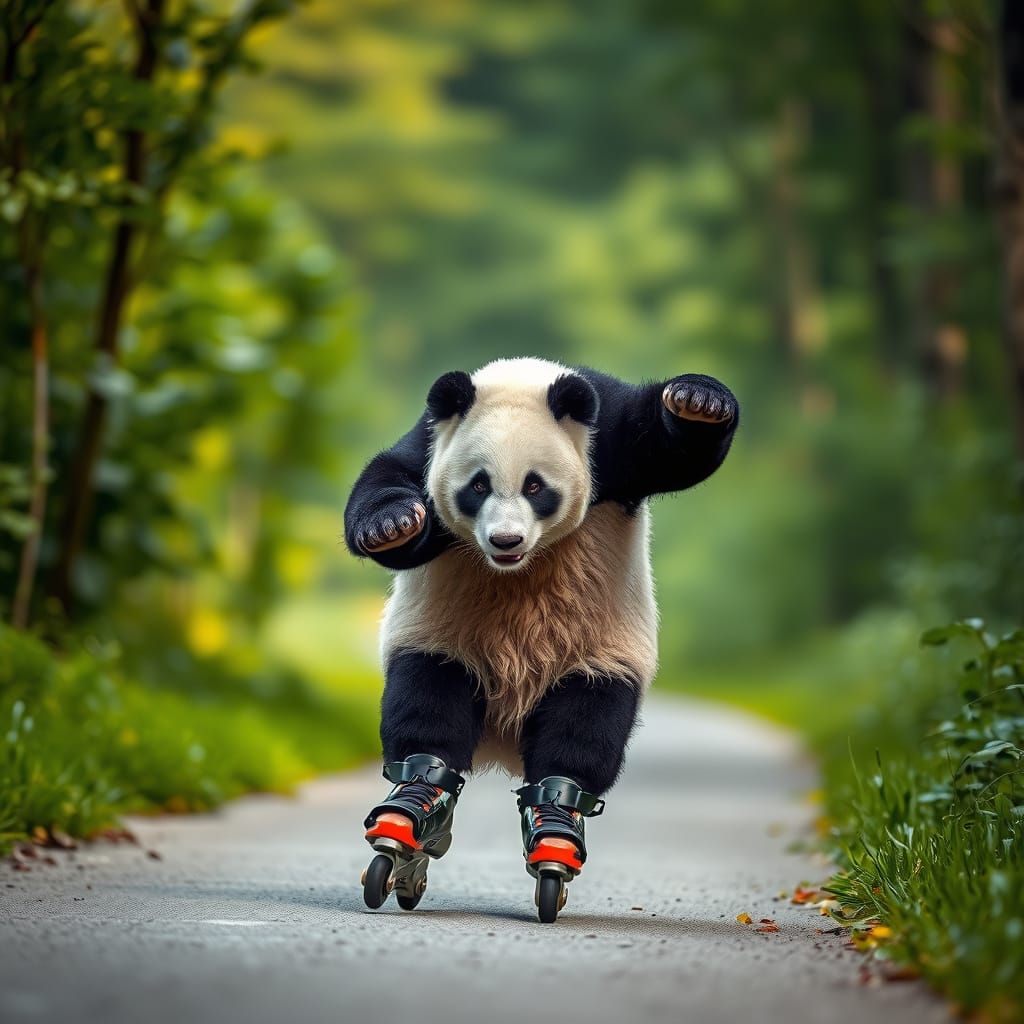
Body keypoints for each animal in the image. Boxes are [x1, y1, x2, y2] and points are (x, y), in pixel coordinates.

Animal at [345, 357, 738, 920]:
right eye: (478, 486)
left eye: (535, 487)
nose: (505, 539)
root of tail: (502, 739)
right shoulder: (429, 443)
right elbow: (389, 483)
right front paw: (391, 525)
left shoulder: (608, 447)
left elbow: (672, 450)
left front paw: (697, 402)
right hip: (444, 637)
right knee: (428, 700)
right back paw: (408, 823)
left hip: (598, 650)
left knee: (584, 726)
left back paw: (554, 832)